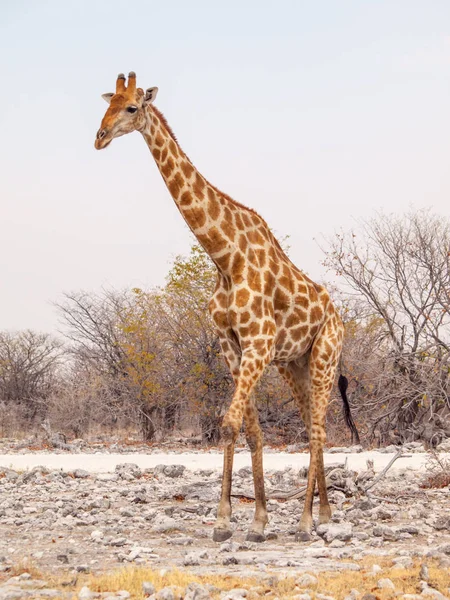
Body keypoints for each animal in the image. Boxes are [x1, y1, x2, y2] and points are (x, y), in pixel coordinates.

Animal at [95, 71, 358, 544]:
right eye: (105, 105)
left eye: (131, 107)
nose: (99, 137)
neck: (225, 257)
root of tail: (337, 316)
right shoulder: (233, 347)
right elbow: (251, 430)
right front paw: (254, 520)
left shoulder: (257, 345)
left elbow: (230, 424)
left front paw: (226, 521)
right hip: (294, 364)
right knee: (313, 425)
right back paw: (325, 513)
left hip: (326, 356)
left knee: (316, 429)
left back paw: (307, 522)